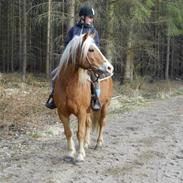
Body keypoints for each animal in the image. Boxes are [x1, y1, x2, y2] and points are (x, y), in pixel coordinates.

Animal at [53, 33, 113, 162]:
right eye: (91, 50)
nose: (110, 68)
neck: (68, 85)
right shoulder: (62, 112)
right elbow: (68, 132)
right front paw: (71, 153)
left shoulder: (81, 112)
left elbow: (80, 132)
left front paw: (80, 155)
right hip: (89, 110)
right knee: (89, 124)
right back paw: (86, 144)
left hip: (105, 105)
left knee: (102, 122)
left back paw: (98, 144)